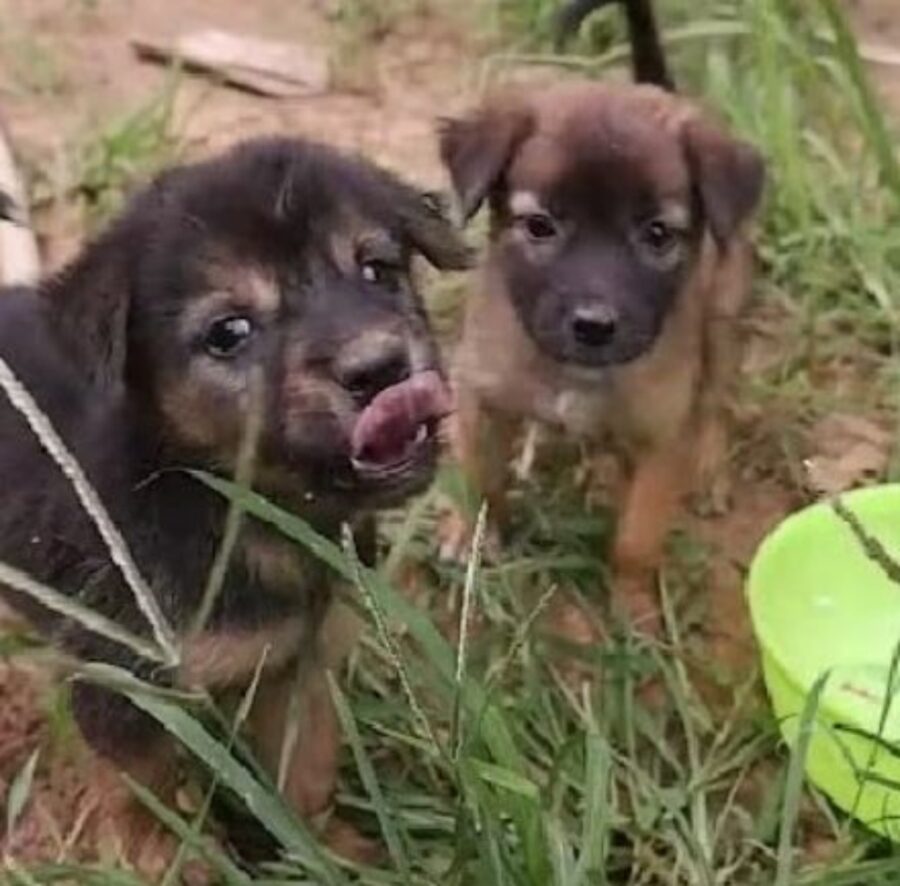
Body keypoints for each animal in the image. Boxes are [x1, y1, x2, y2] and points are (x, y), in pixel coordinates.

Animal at [1, 137, 472, 876]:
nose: (382, 368)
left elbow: (304, 773)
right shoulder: (128, 685)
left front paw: (331, 853)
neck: (234, 507)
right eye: (228, 332)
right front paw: (170, 863)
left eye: (377, 270)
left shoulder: (301, 663)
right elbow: (145, 796)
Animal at [440, 3, 764, 636]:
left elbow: (637, 538)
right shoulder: (480, 393)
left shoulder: (661, 436)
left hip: (722, 316)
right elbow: (476, 477)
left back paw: (707, 470)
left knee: (715, 402)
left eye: (657, 234)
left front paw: (633, 608)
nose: (593, 325)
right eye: (539, 225)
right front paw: (469, 536)